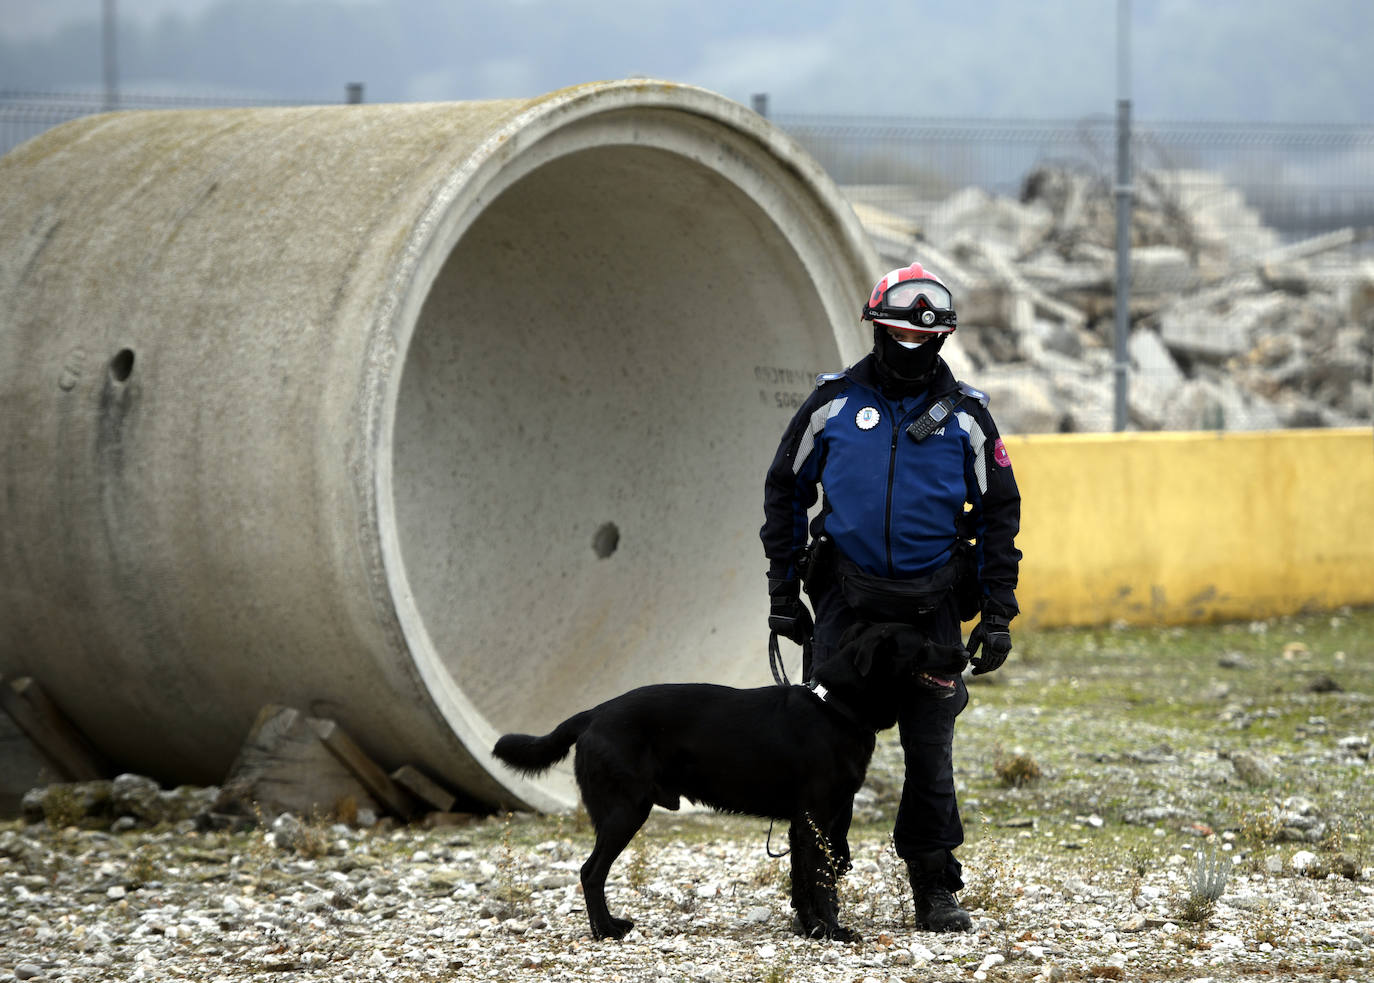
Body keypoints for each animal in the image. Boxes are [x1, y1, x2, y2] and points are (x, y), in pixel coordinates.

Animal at [494, 626, 967, 940]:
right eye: (923, 645)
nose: (965, 652)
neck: (835, 707)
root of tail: (592, 714)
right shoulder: (816, 820)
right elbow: (822, 880)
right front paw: (834, 931)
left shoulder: (803, 825)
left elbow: (802, 881)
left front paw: (811, 929)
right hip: (623, 812)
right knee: (590, 872)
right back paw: (605, 929)